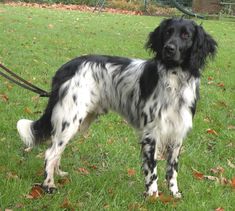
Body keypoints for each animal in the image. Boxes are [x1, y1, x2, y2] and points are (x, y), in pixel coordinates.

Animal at [17, 18, 218, 198]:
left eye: (186, 35)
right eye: (168, 32)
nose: (169, 48)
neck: (175, 80)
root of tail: (66, 67)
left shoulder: (177, 135)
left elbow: (172, 170)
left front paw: (174, 193)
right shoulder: (151, 134)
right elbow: (152, 170)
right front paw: (153, 196)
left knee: (56, 149)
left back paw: (58, 174)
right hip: (70, 119)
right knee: (50, 153)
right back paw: (48, 185)